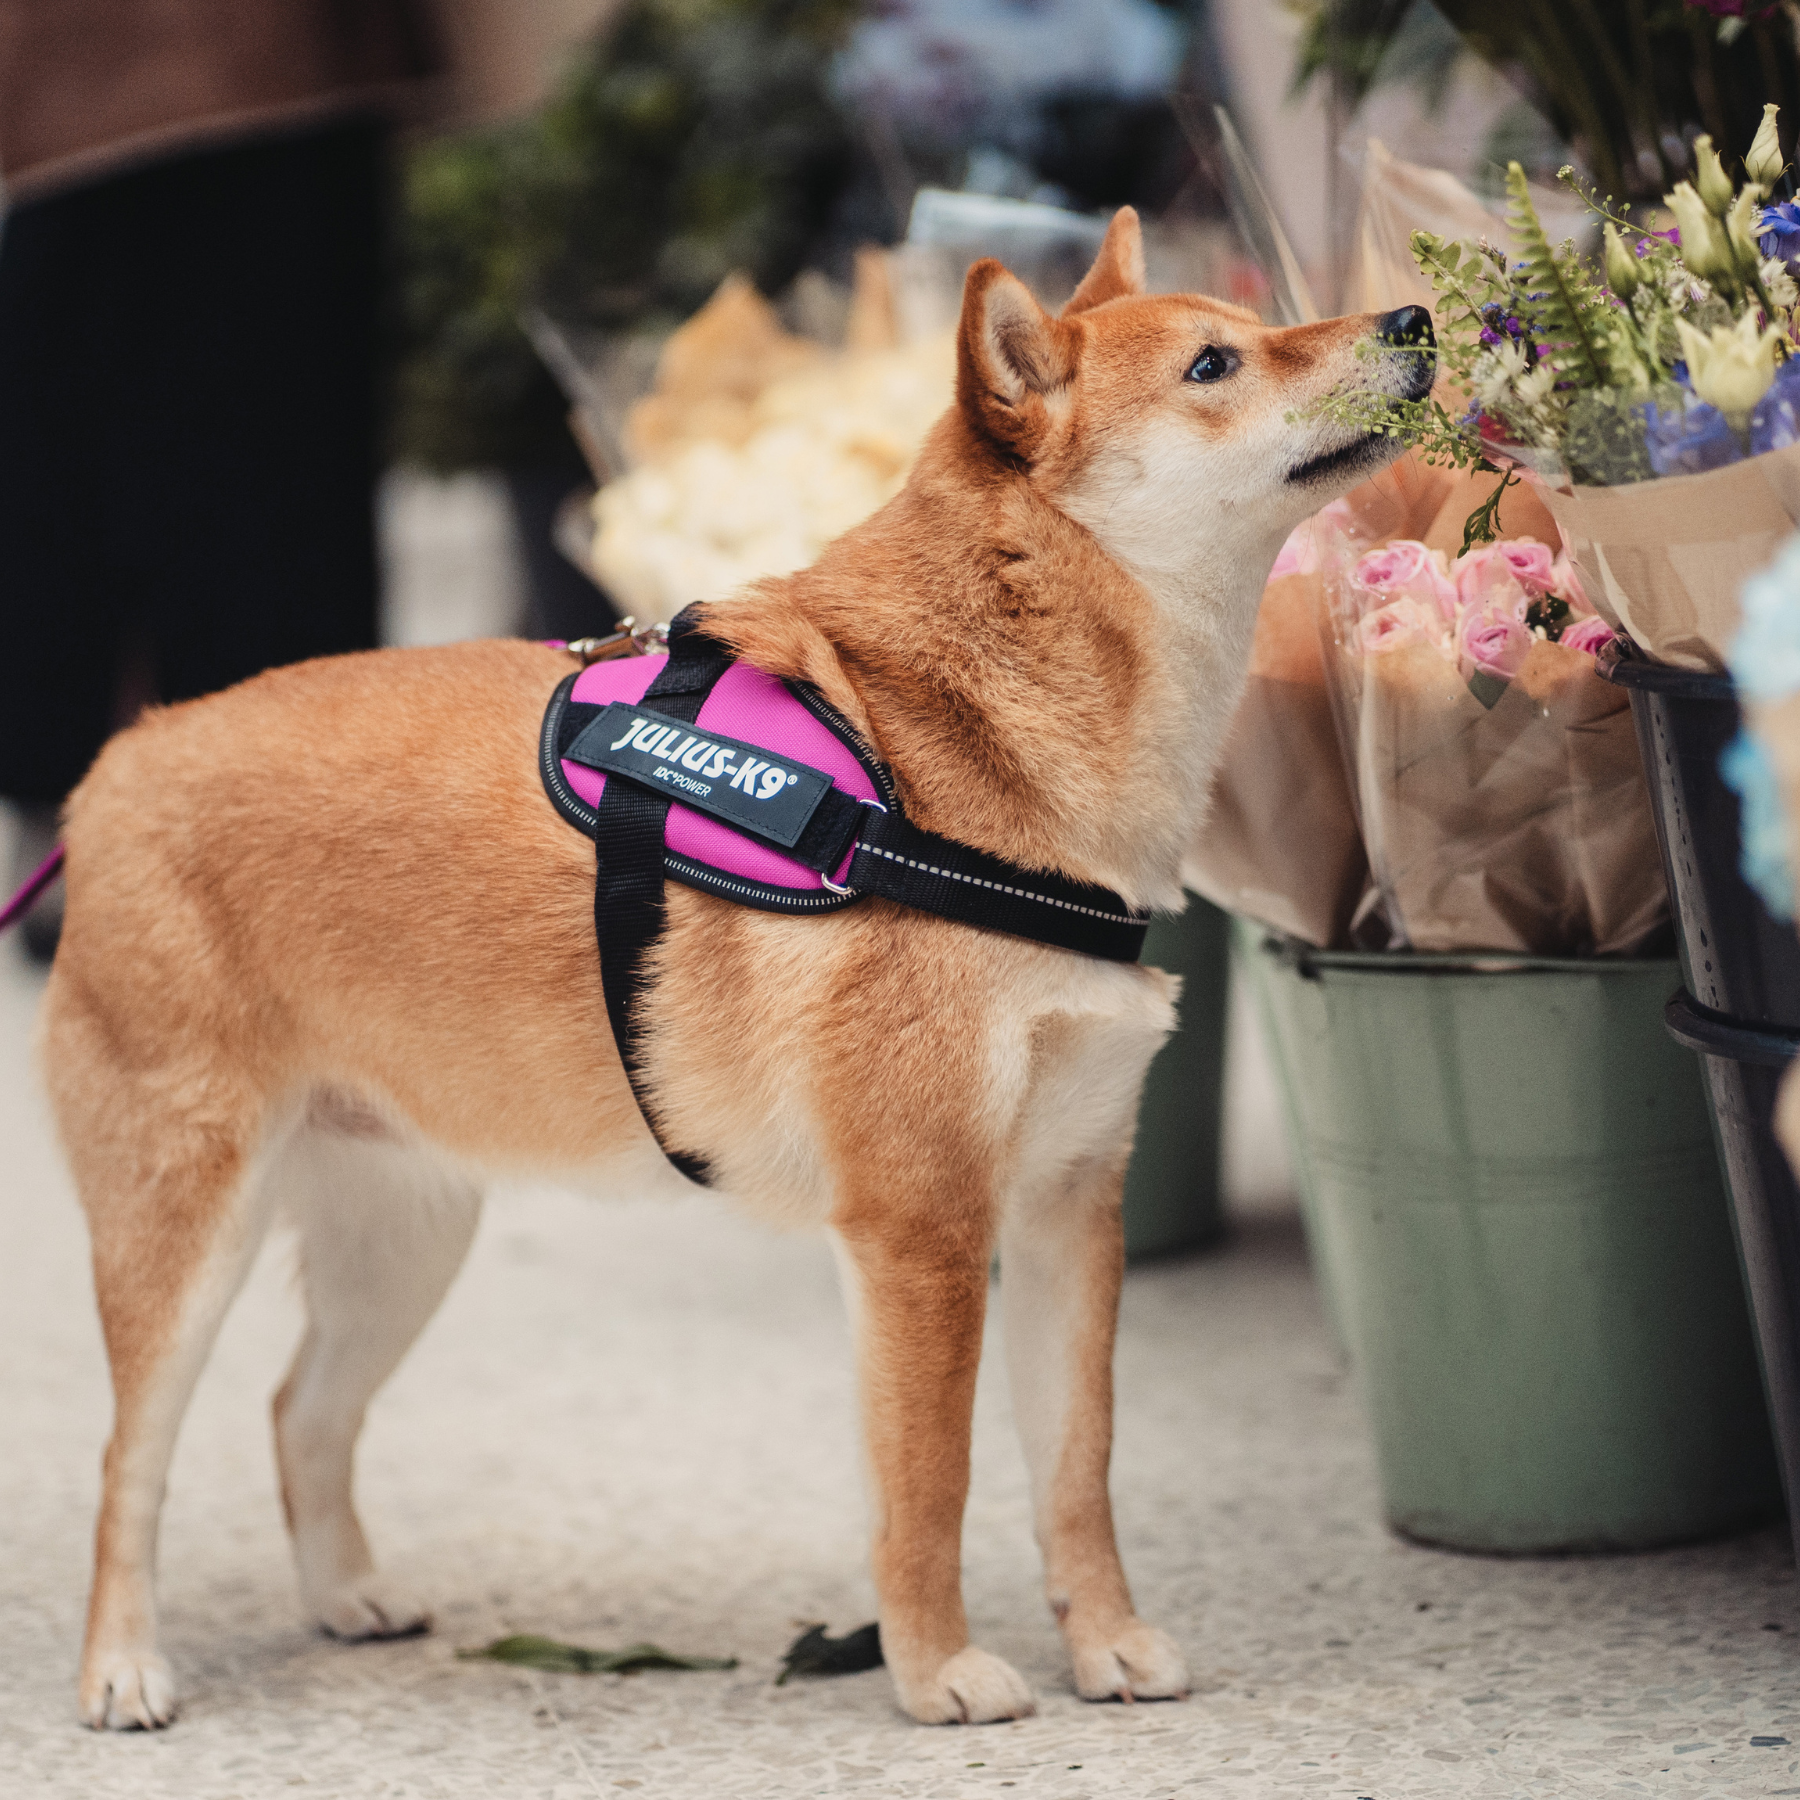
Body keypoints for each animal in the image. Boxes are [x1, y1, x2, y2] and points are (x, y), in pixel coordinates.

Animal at [38, 207, 1432, 1728]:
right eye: (1214, 363)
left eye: (1248, 333)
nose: (1415, 319)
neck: (936, 759)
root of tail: (121, 761)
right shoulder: (919, 1231)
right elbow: (928, 1492)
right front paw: (936, 1672)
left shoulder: (1069, 1207)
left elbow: (1078, 1475)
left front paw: (1108, 1645)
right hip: (189, 1241)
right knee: (127, 1466)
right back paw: (120, 1665)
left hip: (404, 1238)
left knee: (304, 1409)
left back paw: (347, 1595)